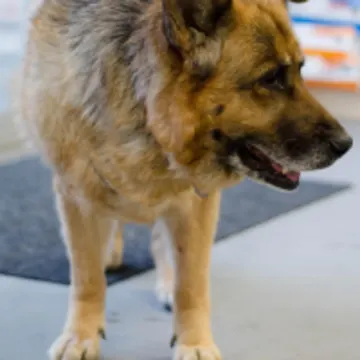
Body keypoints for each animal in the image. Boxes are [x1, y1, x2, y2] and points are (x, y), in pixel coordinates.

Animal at [19, 0, 352, 360]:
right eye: (272, 79)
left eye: (301, 71)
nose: (346, 145)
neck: (148, 114)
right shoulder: (75, 195)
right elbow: (86, 277)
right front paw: (81, 335)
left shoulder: (195, 200)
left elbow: (190, 282)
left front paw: (194, 341)